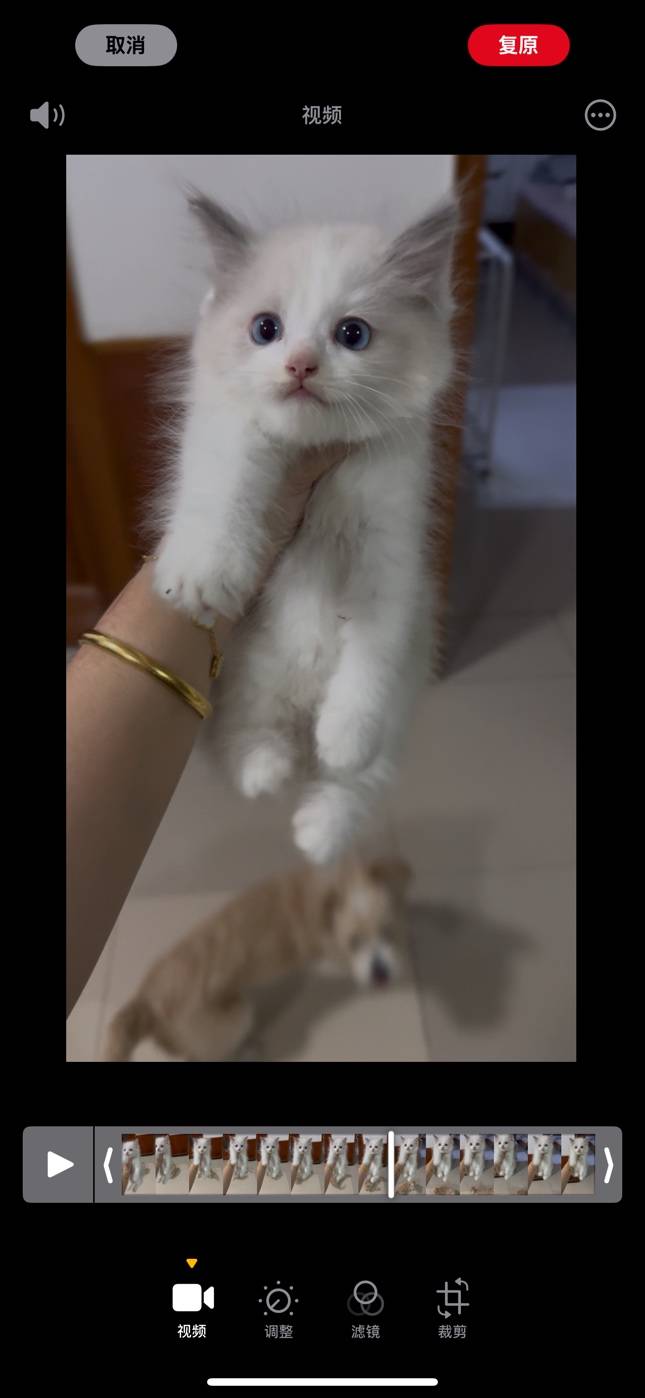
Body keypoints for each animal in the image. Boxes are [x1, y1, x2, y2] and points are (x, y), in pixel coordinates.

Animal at [153, 191, 457, 865]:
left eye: (352, 334)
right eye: (266, 329)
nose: (300, 365)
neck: (316, 465)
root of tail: (298, 701)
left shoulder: (391, 553)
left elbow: (370, 654)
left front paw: (344, 734)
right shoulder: (225, 435)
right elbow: (222, 490)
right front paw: (204, 575)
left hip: (401, 701)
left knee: (355, 781)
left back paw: (318, 830)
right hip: (245, 682)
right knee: (247, 742)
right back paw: (267, 771)